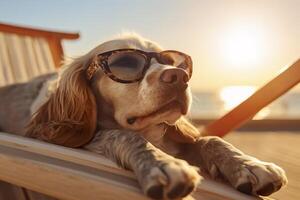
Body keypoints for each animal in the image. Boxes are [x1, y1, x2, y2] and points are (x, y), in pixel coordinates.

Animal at [0, 33, 288, 199]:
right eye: (126, 62)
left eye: (173, 62)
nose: (179, 76)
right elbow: (122, 135)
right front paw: (161, 163)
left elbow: (209, 140)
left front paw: (249, 164)